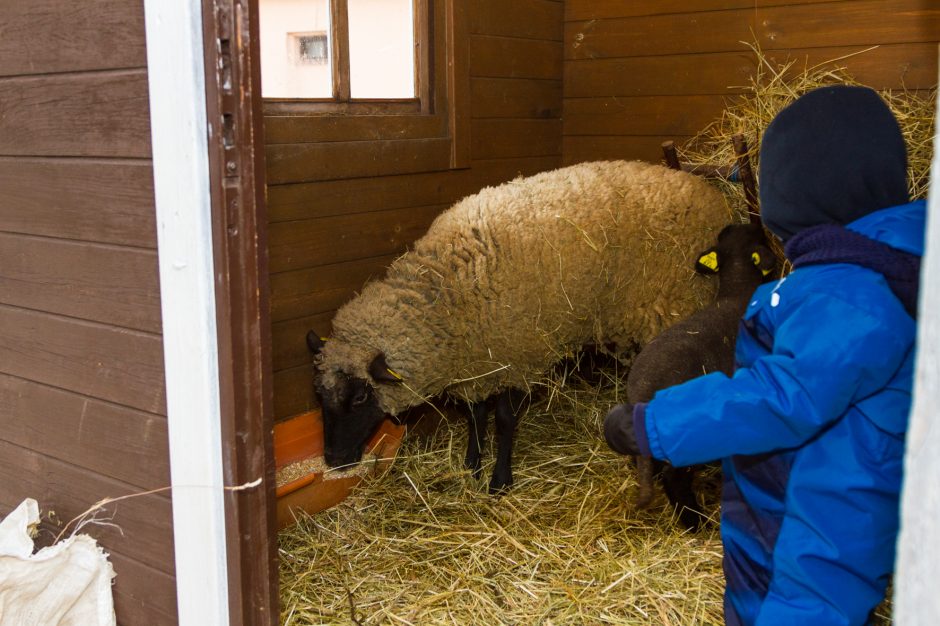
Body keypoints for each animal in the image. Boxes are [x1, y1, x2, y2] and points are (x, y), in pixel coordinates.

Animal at [304, 158, 732, 490]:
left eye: (361, 398)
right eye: (319, 394)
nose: (334, 460)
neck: (448, 292)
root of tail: (710, 192)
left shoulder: (516, 354)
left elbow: (505, 420)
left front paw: (499, 480)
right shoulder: (479, 361)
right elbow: (475, 416)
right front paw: (471, 466)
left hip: (675, 307)